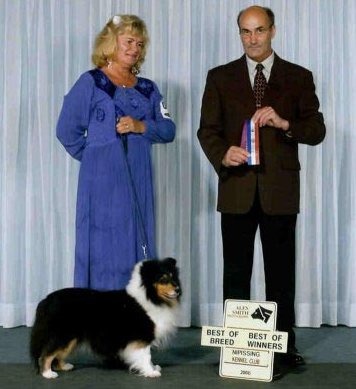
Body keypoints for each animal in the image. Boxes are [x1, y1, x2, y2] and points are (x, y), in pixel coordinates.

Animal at [29, 256, 181, 378]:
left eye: (173, 277)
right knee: (46, 354)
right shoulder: (142, 337)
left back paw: (64, 366)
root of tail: (46, 300)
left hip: (71, 337)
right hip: (63, 334)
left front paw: (153, 367)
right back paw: (48, 374)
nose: (178, 289)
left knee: (58, 353)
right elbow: (146, 355)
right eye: (163, 279)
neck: (150, 297)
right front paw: (151, 372)